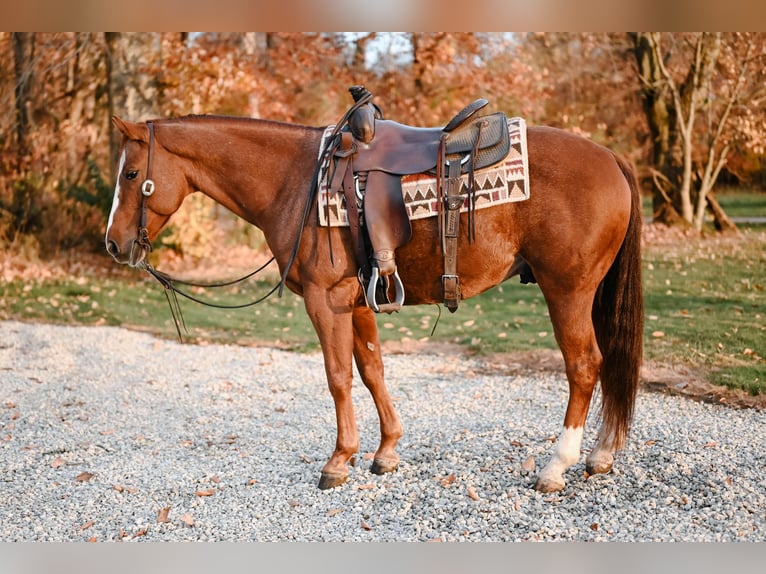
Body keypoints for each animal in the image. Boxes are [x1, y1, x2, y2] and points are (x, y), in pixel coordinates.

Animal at [105, 110, 644, 492]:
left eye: (130, 174)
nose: (113, 244)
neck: (295, 181)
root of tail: (610, 157)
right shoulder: (359, 301)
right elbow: (371, 371)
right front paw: (386, 452)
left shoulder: (325, 301)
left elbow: (338, 377)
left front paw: (339, 460)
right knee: (608, 363)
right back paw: (600, 456)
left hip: (567, 291)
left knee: (584, 366)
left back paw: (557, 466)